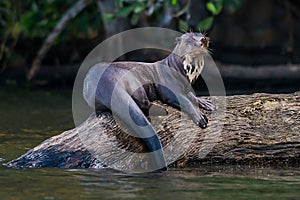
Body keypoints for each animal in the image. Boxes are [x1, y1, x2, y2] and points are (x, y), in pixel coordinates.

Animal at [83, 31, 214, 172]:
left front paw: (206, 103)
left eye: (203, 35)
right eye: (191, 38)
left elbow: (191, 96)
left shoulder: (186, 87)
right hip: (133, 80)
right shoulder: (169, 86)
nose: (203, 40)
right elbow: (184, 101)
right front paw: (200, 118)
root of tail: (104, 80)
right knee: (142, 103)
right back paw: (162, 110)